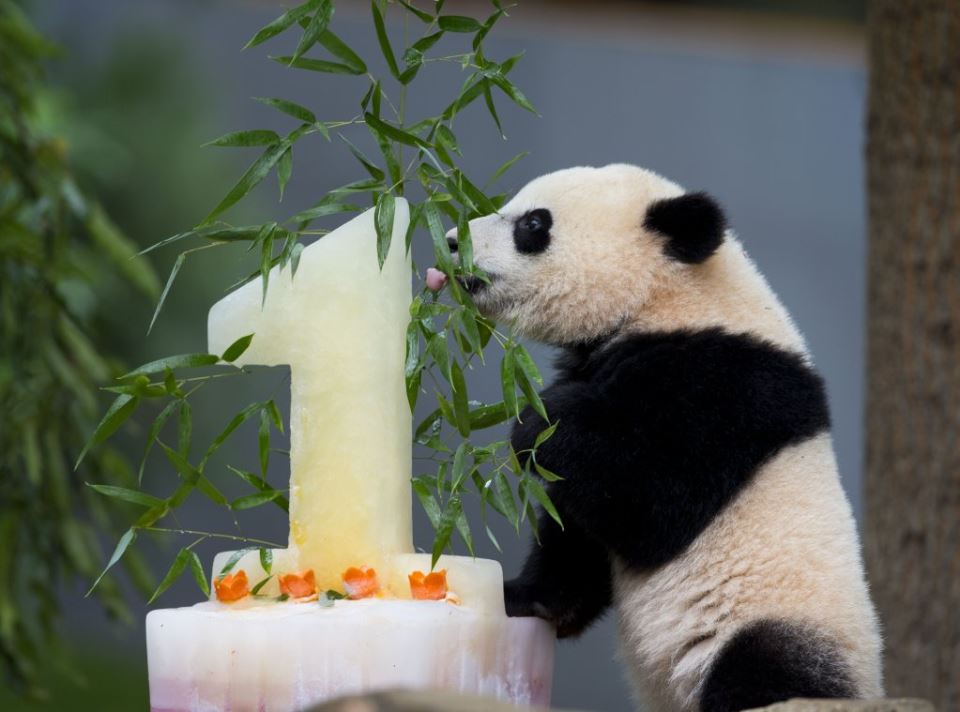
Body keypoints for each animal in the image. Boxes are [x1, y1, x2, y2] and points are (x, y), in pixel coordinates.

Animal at [443, 164, 883, 712]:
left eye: (533, 224)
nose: (451, 241)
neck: (671, 298)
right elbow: (578, 529)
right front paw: (524, 597)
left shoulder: (724, 388)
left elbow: (651, 507)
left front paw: (539, 420)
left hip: (780, 622)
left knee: (764, 670)